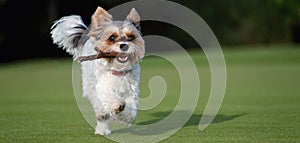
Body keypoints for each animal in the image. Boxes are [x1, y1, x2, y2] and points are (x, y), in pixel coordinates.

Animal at [50, 6, 145, 135]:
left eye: (131, 37)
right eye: (112, 38)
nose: (124, 45)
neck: (118, 70)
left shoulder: (131, 90)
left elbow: (131, 110)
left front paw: (124, 116)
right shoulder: (102, 87)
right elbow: (110, 98)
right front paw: (117, 106)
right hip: (90, 87)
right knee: (100, 112)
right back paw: (103, 129)